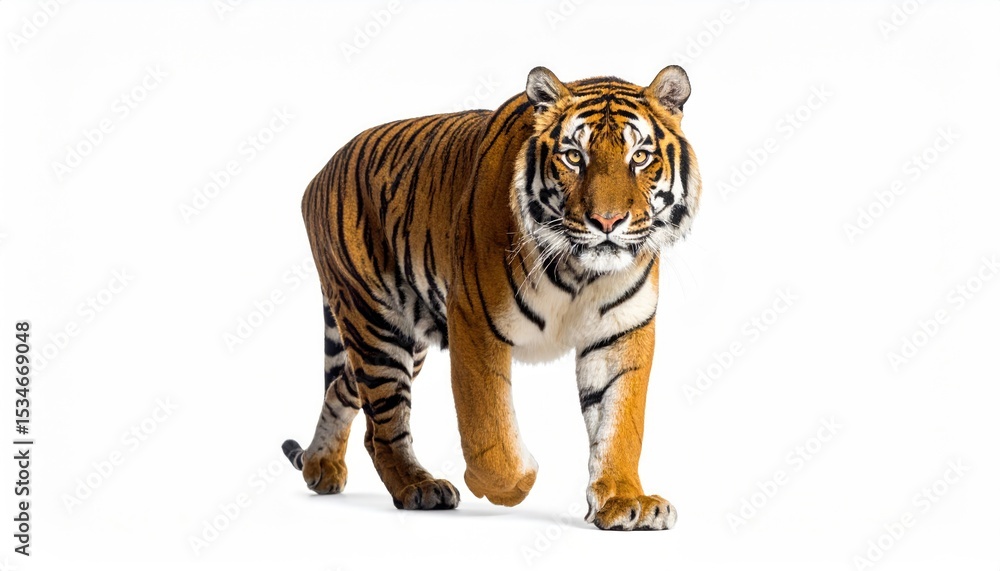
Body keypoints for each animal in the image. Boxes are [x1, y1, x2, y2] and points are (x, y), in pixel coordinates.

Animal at [282, 65, 701, 531]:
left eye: (640, 157)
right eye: (574, 157)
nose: (607, 221)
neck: (581, 274)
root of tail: (321, 171)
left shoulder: (621, 332)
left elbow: (620, 424)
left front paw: (625, 501)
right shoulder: (474, 319)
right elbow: (488, 426)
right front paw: (511, 485)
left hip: (407, 338)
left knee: (341, 387)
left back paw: (322, 468)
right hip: (376, 326)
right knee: (382, 427)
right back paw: (417, 487)